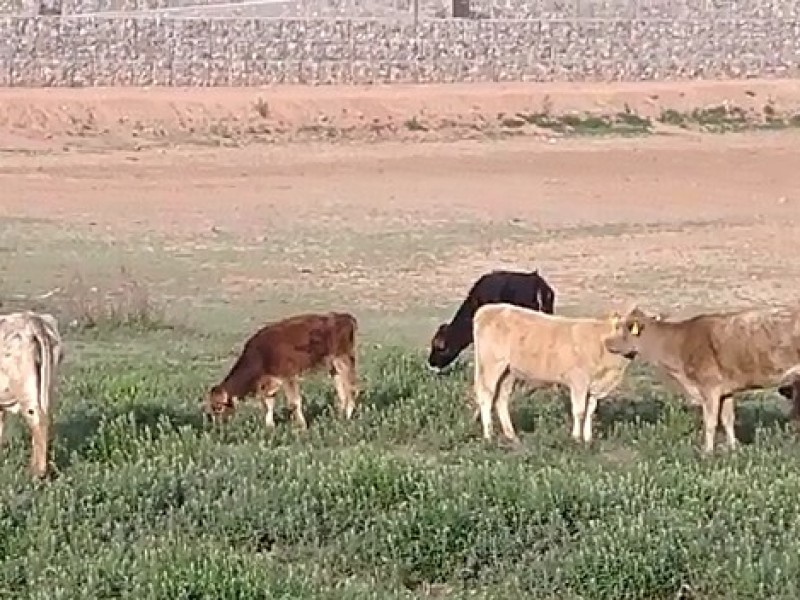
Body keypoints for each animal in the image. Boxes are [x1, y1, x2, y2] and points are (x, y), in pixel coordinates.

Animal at [205, 312, 358, 428]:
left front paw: (302, 427)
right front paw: (270, 427)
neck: (261, 354)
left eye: (218, 407)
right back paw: (339, 417)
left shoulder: (288, 376)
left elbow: (294, 403)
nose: (217, 427)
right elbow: (268, 404)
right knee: (341, 390)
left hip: (342, 360)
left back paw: (347, 416)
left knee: (350, 387)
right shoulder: (271, 381)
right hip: (333, 367)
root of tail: (344, 317)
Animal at [468, 304, 632, 446]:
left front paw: (588, 439)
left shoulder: (595, 385)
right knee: (486, 396)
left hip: (508, 372)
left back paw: (511, 436)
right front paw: (576, 440)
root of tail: (488, 309)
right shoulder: (579, 381)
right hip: (491, 365)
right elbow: (579, 411)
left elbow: (590, 411)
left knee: (501, 398)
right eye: (618, 327)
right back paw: (489, 436)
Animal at [604, 308, 800, 452]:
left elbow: (710, 421)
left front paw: (707, 452)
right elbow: (728, 419)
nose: (607, 342)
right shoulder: (726, 390)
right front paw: (733, 448)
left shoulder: (709, 387)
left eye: (623, 328)